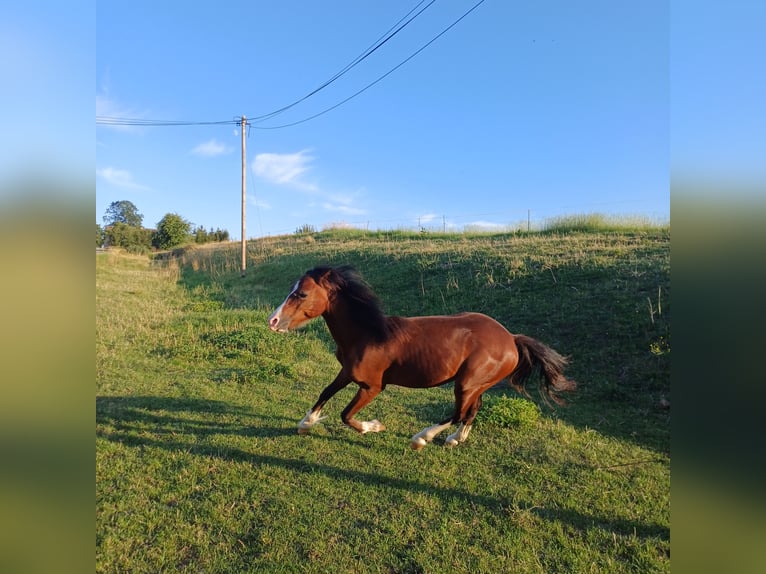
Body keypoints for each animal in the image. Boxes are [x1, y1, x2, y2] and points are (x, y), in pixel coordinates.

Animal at [270, 266, 576, 450]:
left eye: (302, 293)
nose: (272, 321)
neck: (368, 334)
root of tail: (511, 338)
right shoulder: (346, 372)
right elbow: (325, 392)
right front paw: (306, 423)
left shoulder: (372, 386)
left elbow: (346, 415)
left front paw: (374, 426)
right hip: (478, 384)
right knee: (473, 409)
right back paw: (454, 440)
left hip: (466, 383)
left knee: (459, 412)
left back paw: (421, 438)